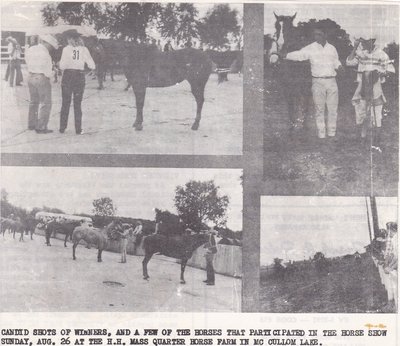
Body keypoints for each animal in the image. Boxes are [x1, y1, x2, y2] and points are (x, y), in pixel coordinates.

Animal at [86, 38, 214, 132]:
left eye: (96, 50)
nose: (89, 67)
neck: (134, 58)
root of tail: (207, 58)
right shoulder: (136, 86)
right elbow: (138, 104)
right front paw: (136, 123)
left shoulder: (140, 86)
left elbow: (140, 104)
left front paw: (139, 125)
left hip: (197, 84)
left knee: (200, 101)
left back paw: (195, 125)